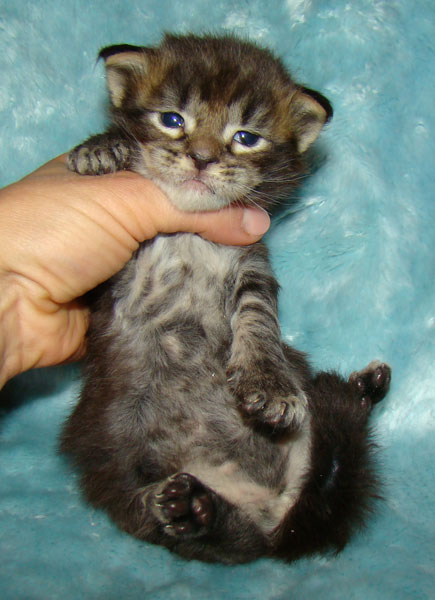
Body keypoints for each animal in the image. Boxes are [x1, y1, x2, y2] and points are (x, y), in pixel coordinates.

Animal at [61, 33, 391, 564]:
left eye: (245, 137)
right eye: (172, 120)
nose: (201, 158)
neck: (188, 234)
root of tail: (266, 506)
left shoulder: (252, 262)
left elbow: (259, 315)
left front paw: (268, 383)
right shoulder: (101, 279)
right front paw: (102, 147)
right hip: (108, 449)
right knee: (168, 520)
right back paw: (189, 510)